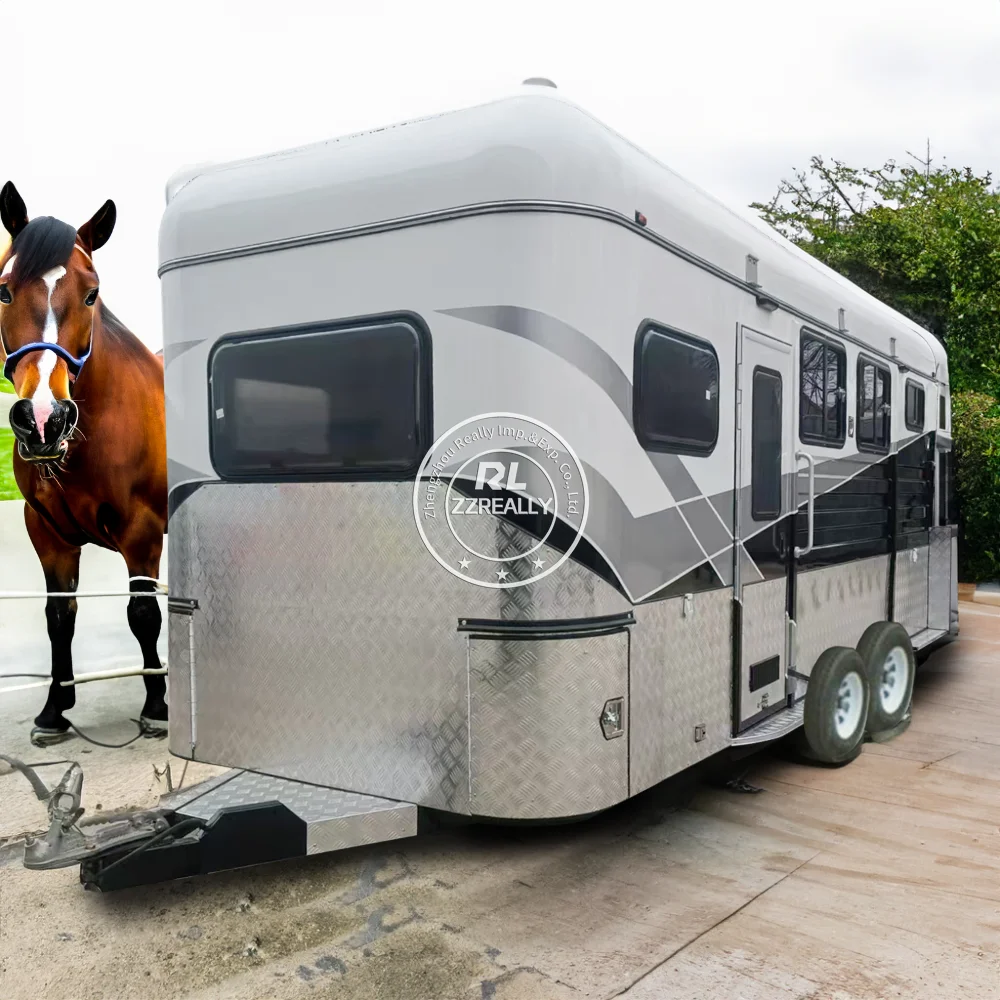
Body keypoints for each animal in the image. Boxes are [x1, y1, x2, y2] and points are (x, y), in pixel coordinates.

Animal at [0, 180, 167, 740]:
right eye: (4, 290)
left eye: (92, 292)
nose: (43, 418)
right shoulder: (47, 533)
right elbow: (60, 617)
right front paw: (55, 708)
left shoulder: (142, 531)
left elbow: (144, 614)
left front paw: (157, 705)